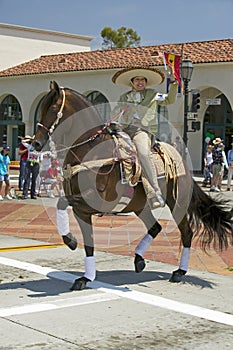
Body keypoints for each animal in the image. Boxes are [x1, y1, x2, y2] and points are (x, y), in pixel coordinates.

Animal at [33, 81, 233, 290]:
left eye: (52, 108)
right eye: (41, 108)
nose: (36, 143)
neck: (91, 150)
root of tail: (183, 162)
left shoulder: (95, 200)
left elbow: (62, 202)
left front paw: (71, 242)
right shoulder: (83, 210)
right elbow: (88, 242)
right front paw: (85, 275)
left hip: (177, 203)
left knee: (186, 232)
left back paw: (179, 272)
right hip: (139, 206)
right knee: (155, 228)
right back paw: (139, 260)